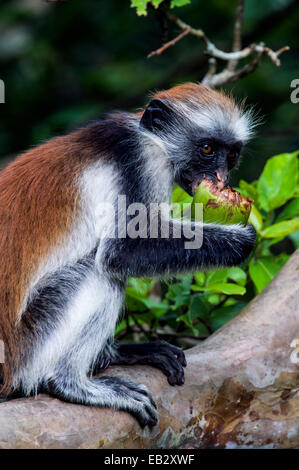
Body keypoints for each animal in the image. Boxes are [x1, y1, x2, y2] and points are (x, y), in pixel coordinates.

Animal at [0, 82, 258, 428]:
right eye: (206, 149)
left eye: (231, 154)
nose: (220, 178)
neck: (148, 137)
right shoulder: (141, 162)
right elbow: (121, 252)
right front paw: (240, 240)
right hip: (29, 345)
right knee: (99, 272)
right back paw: (69, 383)